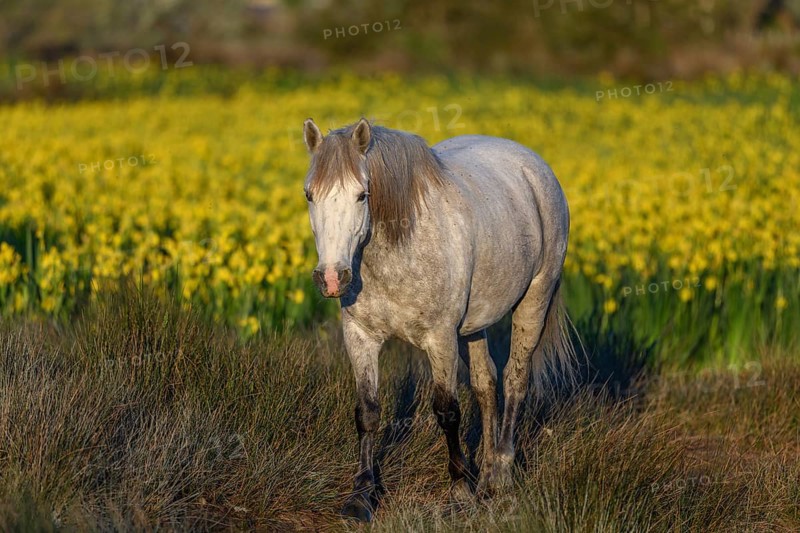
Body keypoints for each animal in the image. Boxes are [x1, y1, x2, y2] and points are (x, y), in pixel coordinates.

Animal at [302, 117, 576, 521]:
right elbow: (367, 412)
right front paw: (361, 496)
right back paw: (488, 473)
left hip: (534, 301)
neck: (397, 250)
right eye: (309, 195)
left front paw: (460, 493)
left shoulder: (440, 339)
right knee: (485, 383)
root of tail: (532, 164)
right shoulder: (360, 337)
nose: (333, 279)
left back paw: (501, 476)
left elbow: (447, 412)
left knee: (515, 379)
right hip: (475, 325)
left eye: (362, 195)